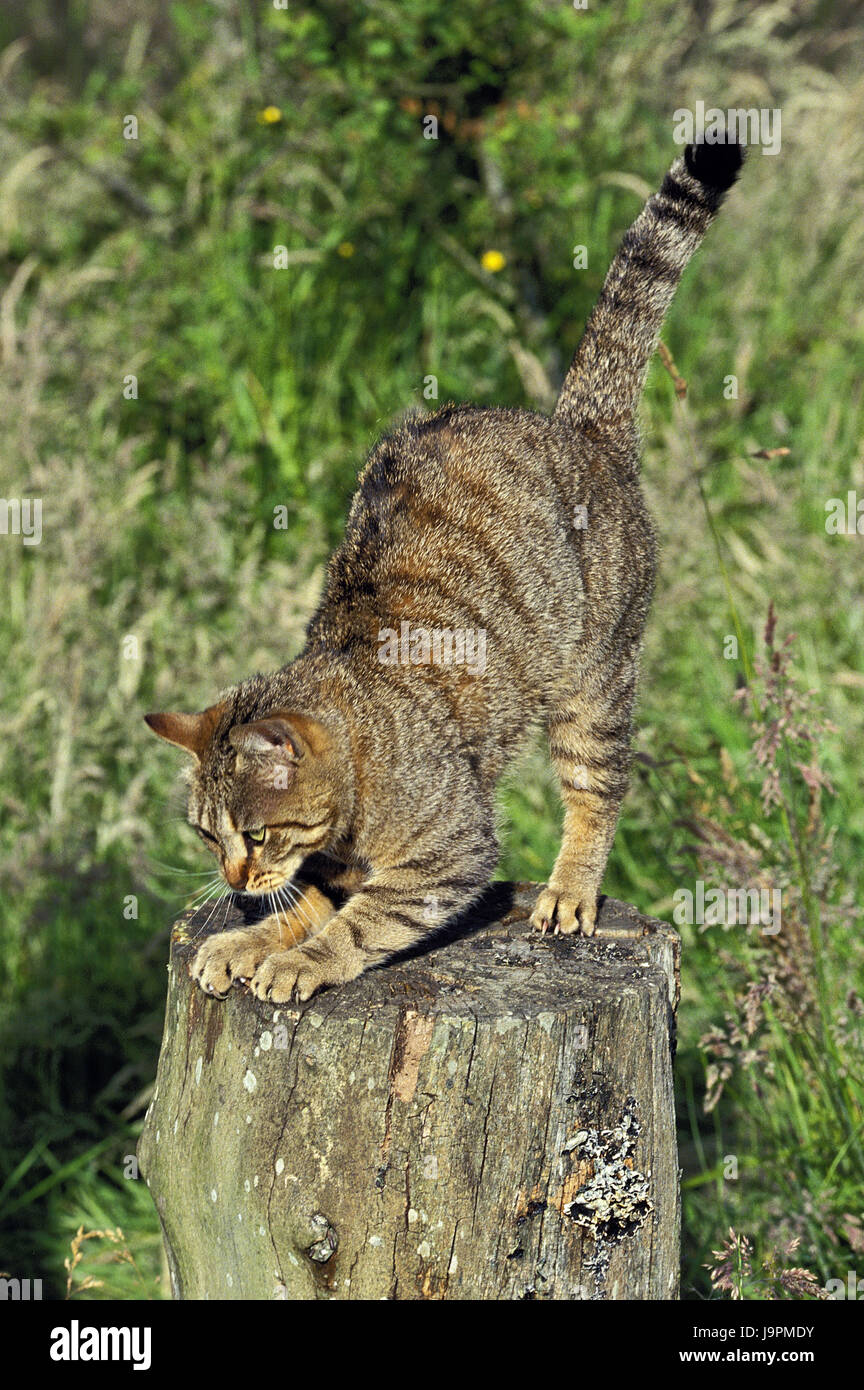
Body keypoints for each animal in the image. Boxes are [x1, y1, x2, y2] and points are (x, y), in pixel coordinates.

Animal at [147, 135, 744, 1000]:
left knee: (598, 790)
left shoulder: (451, 852)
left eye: (254, 835)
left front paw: (297, 958)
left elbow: (359, 922)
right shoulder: (329, 864)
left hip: (594, 682)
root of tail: (576, 428)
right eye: (204, 836)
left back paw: (568, 890)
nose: (231, 881)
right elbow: (312, 899)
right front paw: (256, 937)